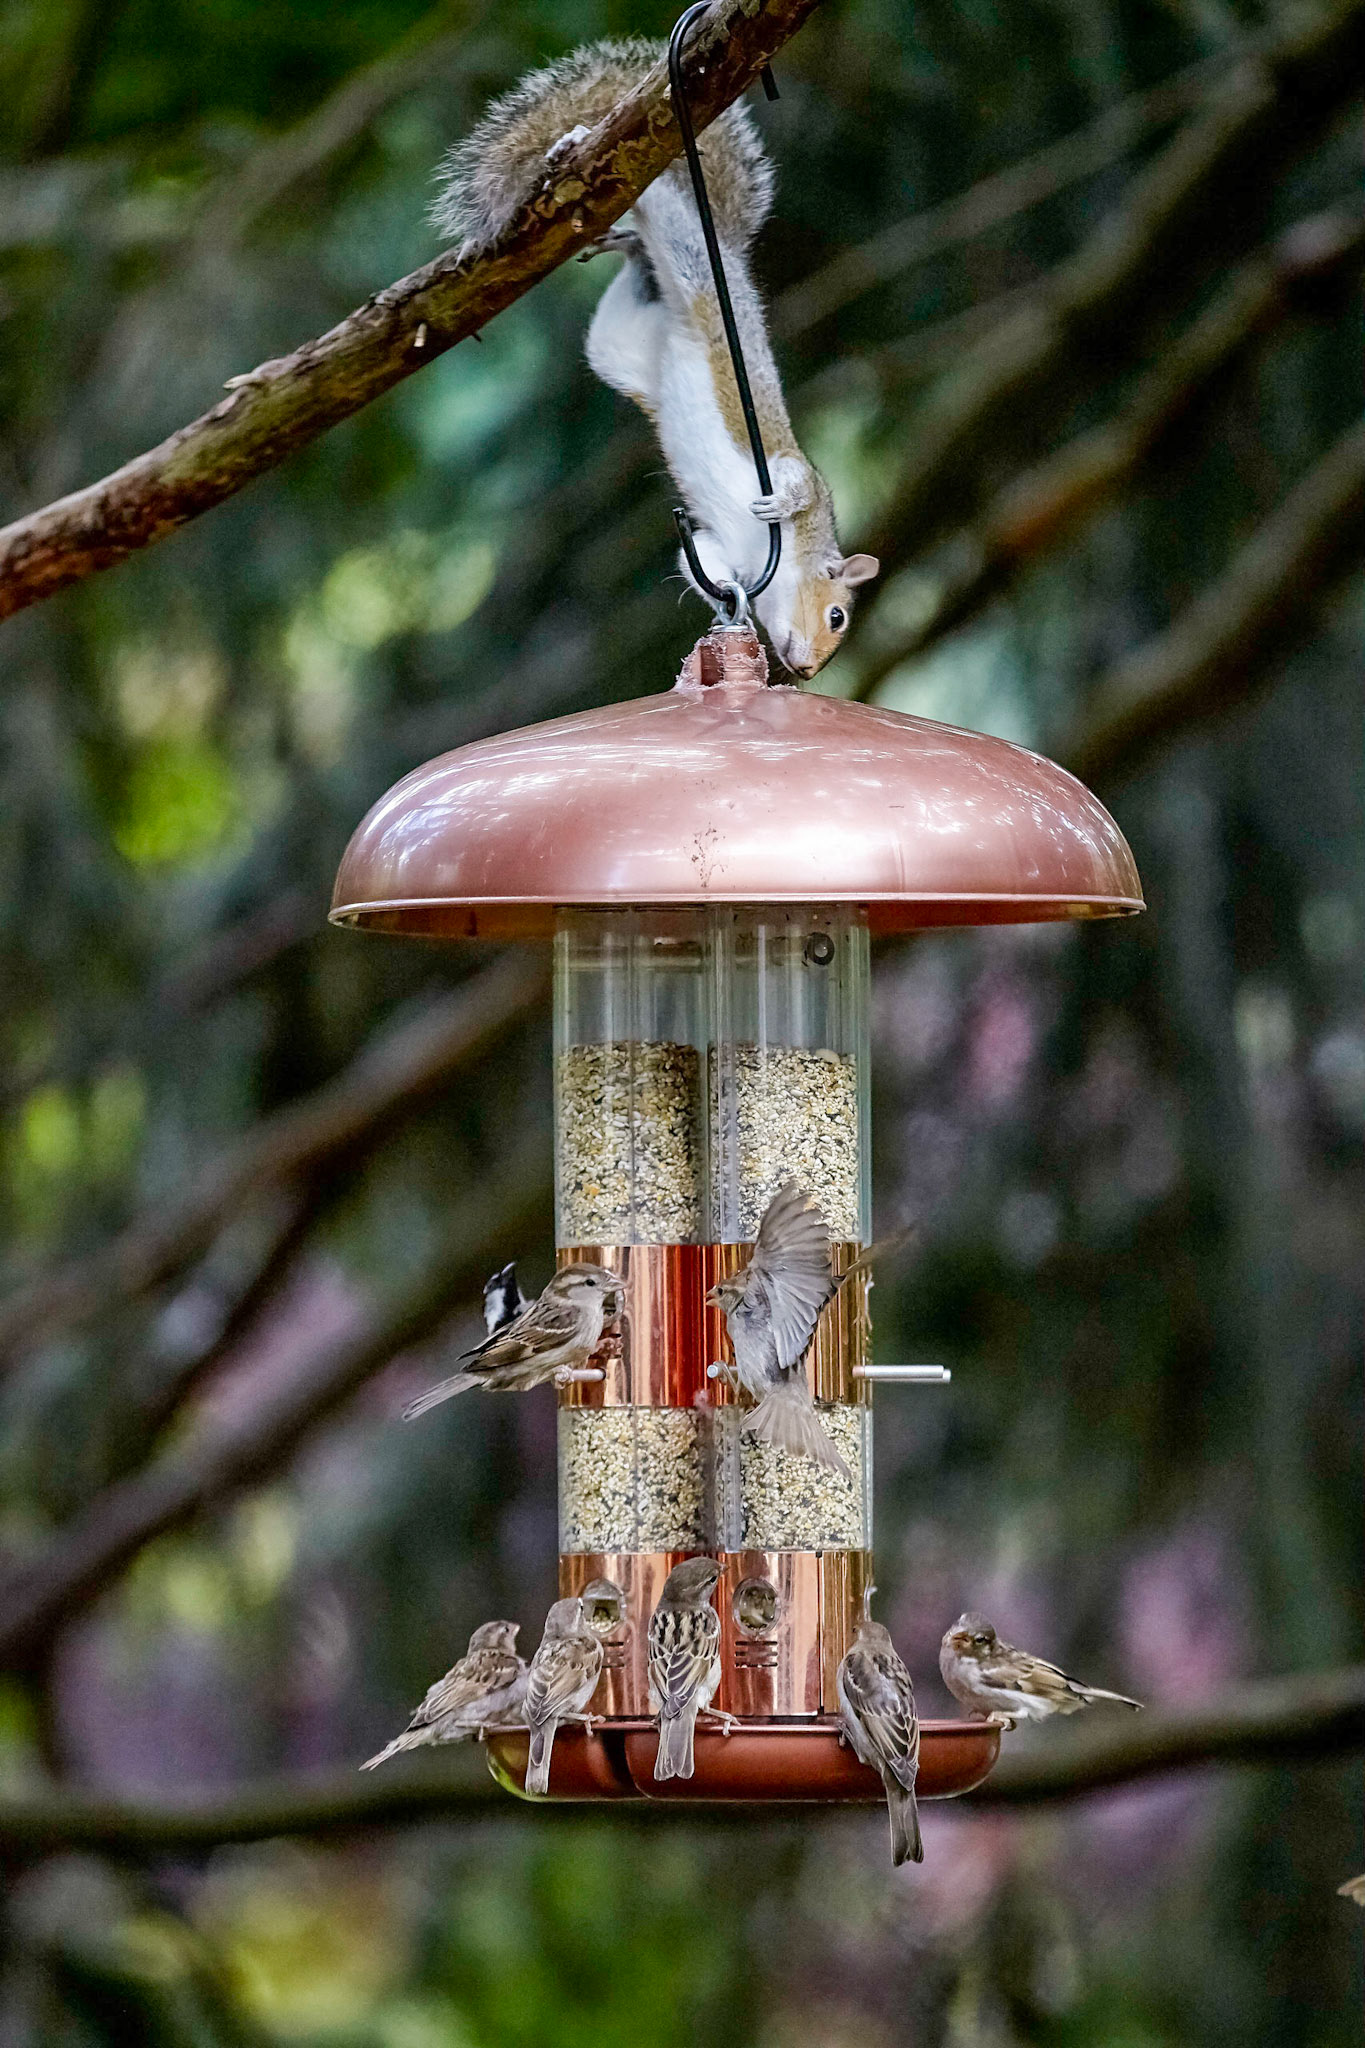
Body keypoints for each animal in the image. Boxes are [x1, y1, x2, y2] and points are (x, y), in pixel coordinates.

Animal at [432, 39, 879, 679]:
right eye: (837, 616)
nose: (808, 672)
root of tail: (728, 259)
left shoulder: (717, 542)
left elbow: (705, 563)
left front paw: (728, 600)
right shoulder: (802, 480)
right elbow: (799, 486)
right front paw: (777, 503)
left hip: (619, 347)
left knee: (624, 291)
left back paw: (623, 243)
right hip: (696, 267)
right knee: (662, 199)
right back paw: (578, 146)